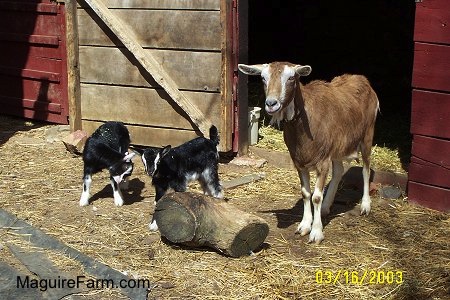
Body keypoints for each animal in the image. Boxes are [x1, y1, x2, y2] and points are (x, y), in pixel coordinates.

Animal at [239, 62, 380, 243]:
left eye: (291, 78)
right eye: (263, 78)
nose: (271, 103)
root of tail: (362, 79)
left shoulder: (323, 160)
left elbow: (316, 197)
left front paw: (316, 233)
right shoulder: (299, 161)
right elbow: (306, 193)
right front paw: (304, 226)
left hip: (367, 133)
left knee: (366, 168)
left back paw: (365, 206)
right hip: (336, 146)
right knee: (339, 171)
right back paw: (326, 207)